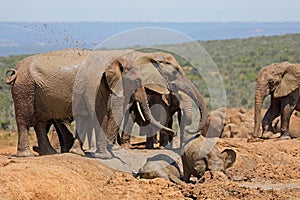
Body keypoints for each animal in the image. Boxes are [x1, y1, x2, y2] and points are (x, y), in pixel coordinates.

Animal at [5, 48, 180, 158]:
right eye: (137, 81)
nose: (175, 133)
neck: (114, 59)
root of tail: (15, 71)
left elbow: (86, 117)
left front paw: (79, 153)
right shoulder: (94, 84)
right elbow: (99, 115)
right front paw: (105, 157)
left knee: (41, 122)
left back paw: (49, 154)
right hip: (24, 89)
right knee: (24, 120)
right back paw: (26, 155)